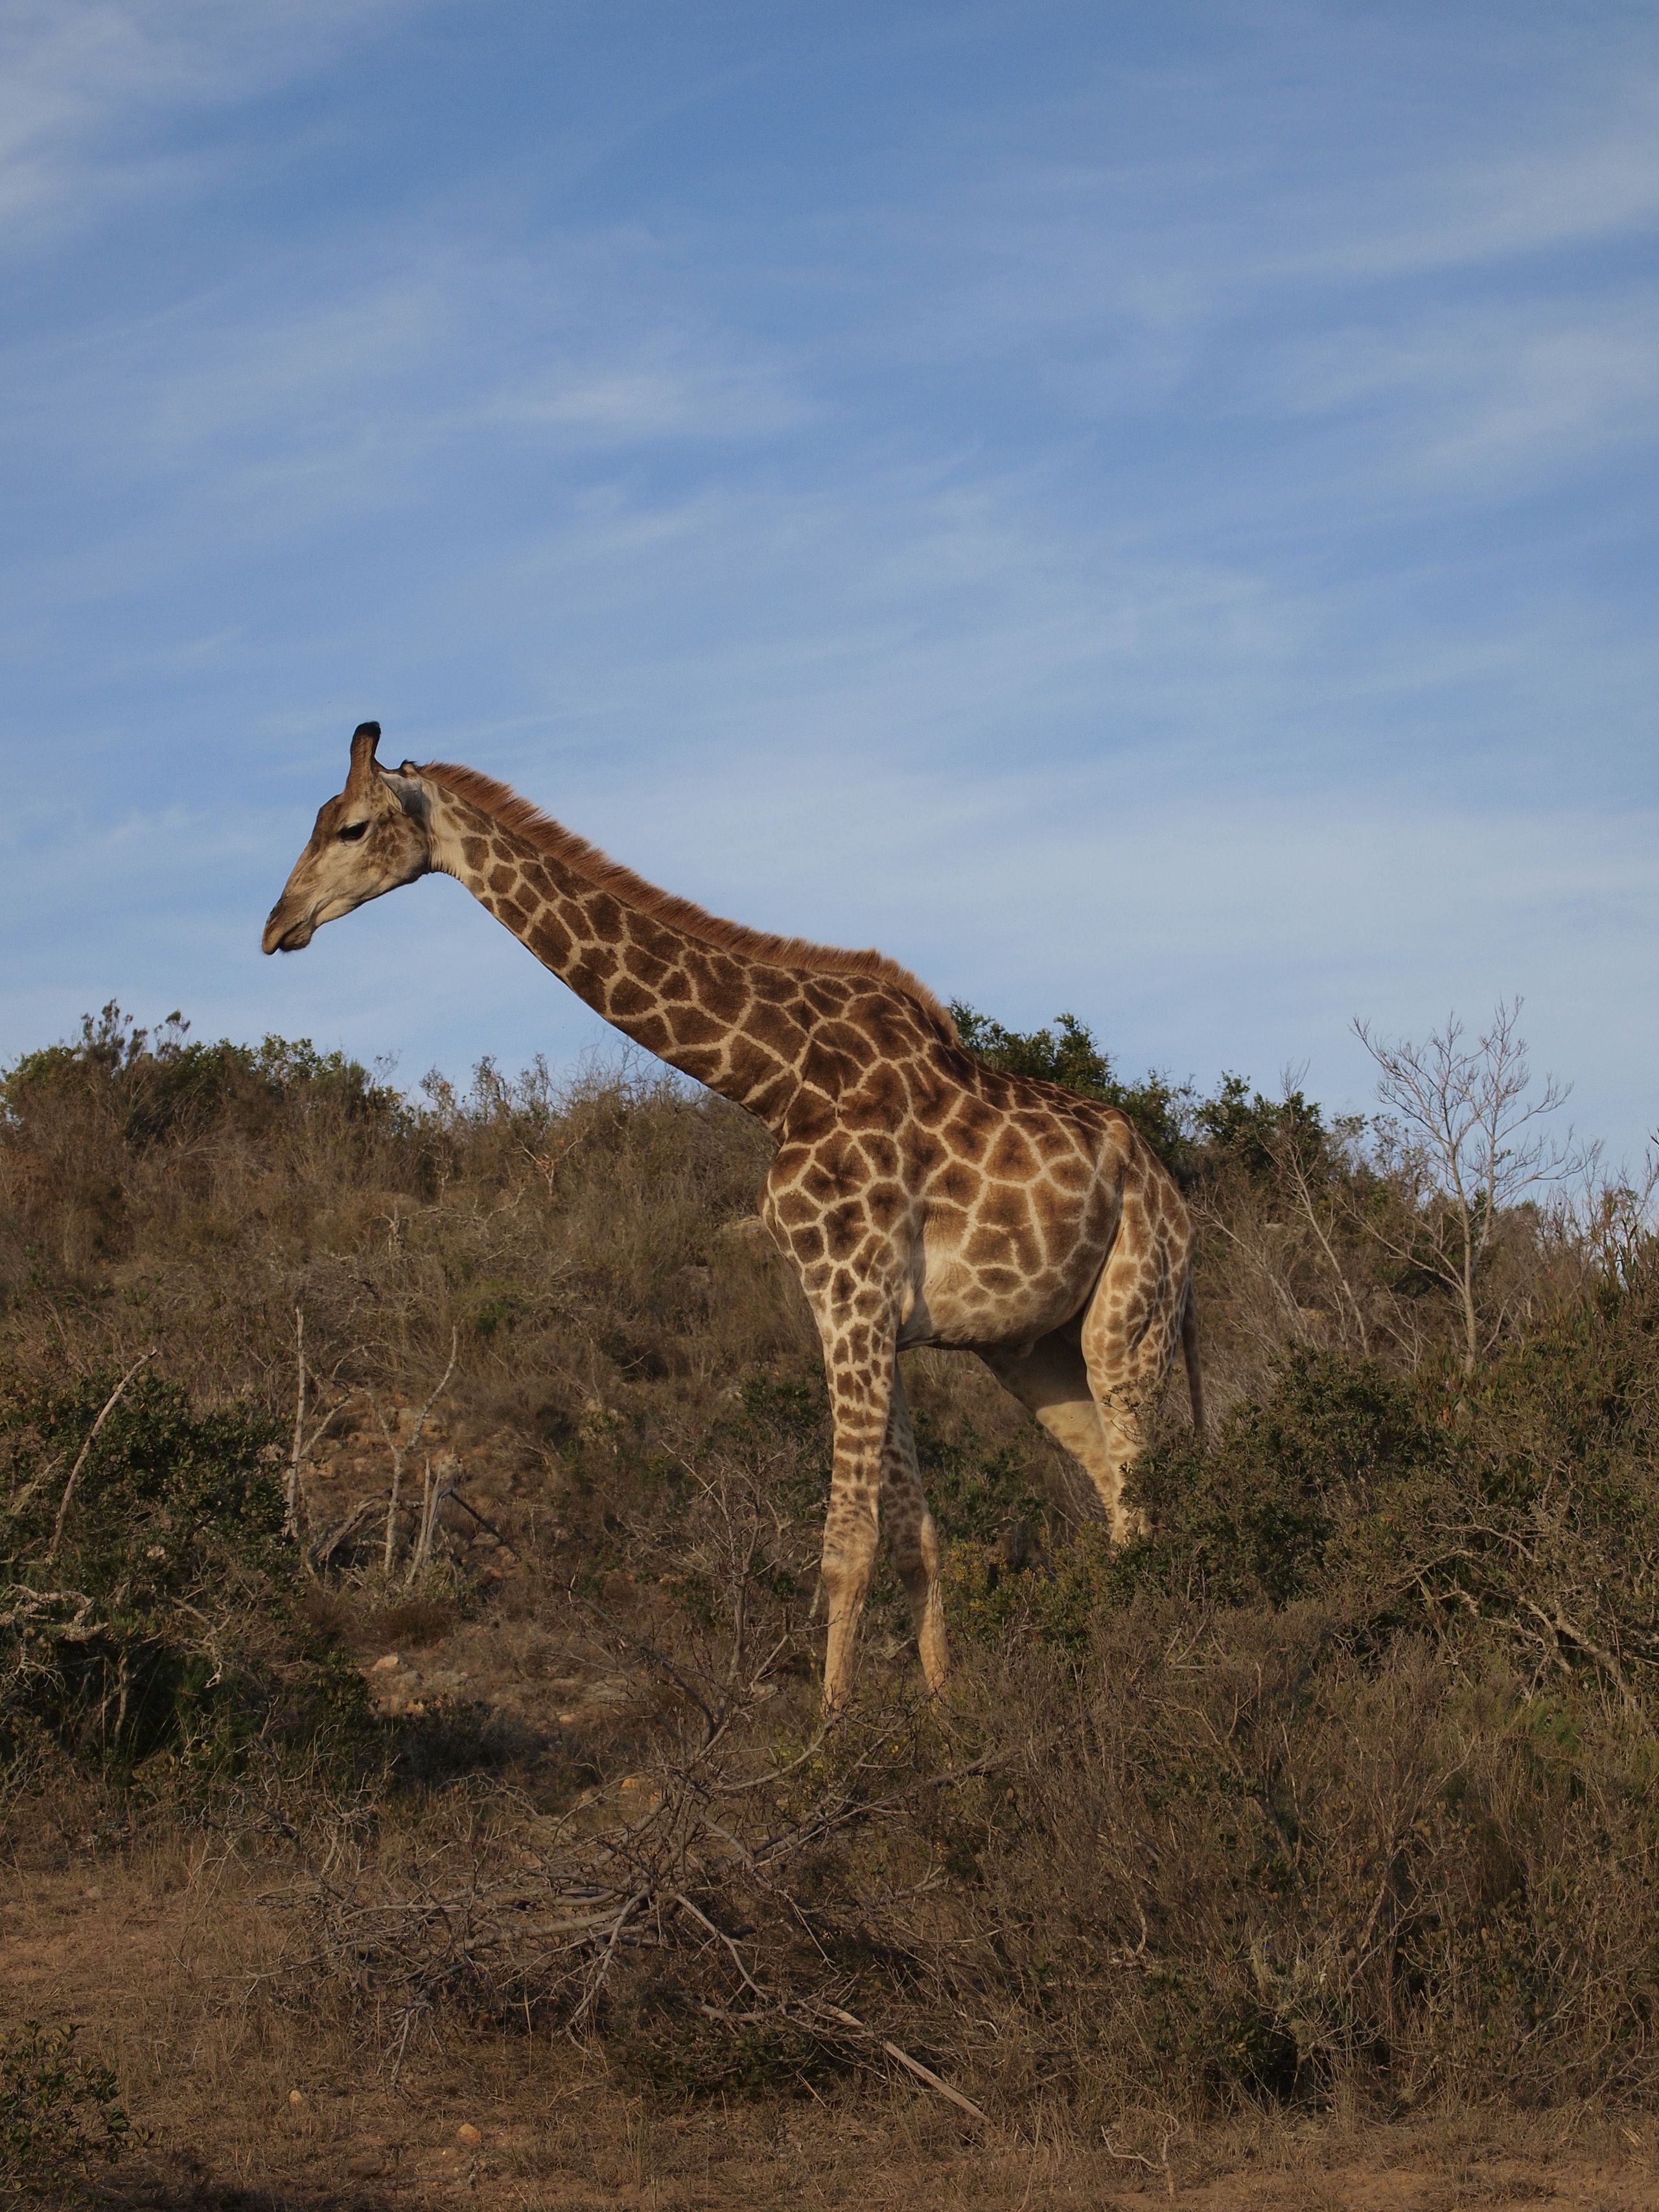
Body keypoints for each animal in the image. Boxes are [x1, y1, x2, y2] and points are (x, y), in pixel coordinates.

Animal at [263, 722, 1203, 1706]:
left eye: (352, 826)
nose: (277, 925)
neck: (779, 1082)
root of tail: (1175, 1196)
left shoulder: (853, 1298)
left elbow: (847, 1545)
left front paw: (830, 1737)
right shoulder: (859, 1311)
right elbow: (916, 1538)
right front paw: (945, 1713)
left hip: (1132, 1321)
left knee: (1146, 1503)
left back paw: (1148, 1675)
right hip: (1035, 1351)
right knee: (1117, 1493)